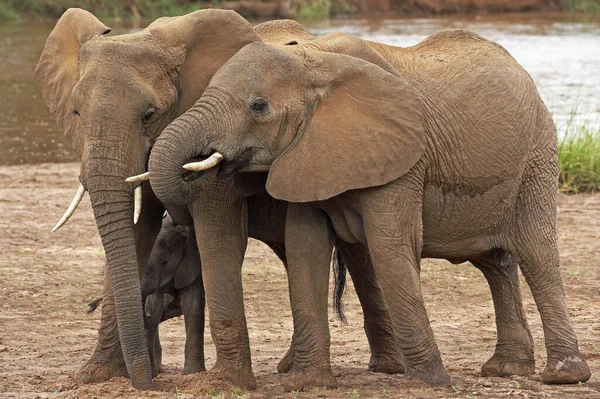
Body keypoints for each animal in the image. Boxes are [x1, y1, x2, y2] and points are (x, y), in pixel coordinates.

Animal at [37, 10, 404, 390]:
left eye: (149, 115)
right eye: (76, 113)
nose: (148, 382)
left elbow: (218, 233)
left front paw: (225, 383)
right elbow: (136, 232)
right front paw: (95, 375)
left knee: (358, 253)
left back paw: (388, 367)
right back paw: (292, 366)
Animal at [149, 32, 592, 390]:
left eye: (258, 106)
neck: (315, 60)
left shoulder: (403, 156)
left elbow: (390, 244)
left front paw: (426, 383)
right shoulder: (309, 154)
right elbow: (305, 247)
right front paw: (308, 383)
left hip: (537, 153)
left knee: (536, 253)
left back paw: (564, 376)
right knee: (495, 262)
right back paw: (506, 370)